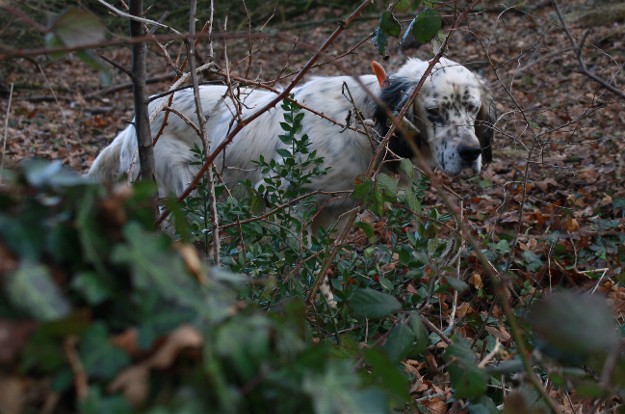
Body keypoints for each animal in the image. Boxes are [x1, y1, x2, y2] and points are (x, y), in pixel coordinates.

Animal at [89, 56, 498, 234]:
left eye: (472, 108)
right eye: (434, 111)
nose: (471, 153)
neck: (364, 122)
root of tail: (131, 127)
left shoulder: (338, 211)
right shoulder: (284, 200)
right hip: (184, 194)